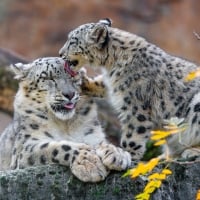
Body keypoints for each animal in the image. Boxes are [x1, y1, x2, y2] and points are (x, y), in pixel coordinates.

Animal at [0, 57, 131, 182]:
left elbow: (102, 143)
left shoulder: (92, 136)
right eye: (48, 77)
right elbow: (59, 146)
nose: (69, 94)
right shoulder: (24, 148)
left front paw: (118, 154)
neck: (65, 124)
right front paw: (89, 163)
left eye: (73, 75)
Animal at [59, 18, 200, 159]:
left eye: (72, 41)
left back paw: (191, 151)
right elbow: (102, 85)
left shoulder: (135, 106)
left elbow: (132, 134)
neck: (111, 66)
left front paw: (128, 154)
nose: (60, 54)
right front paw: (82, 81)